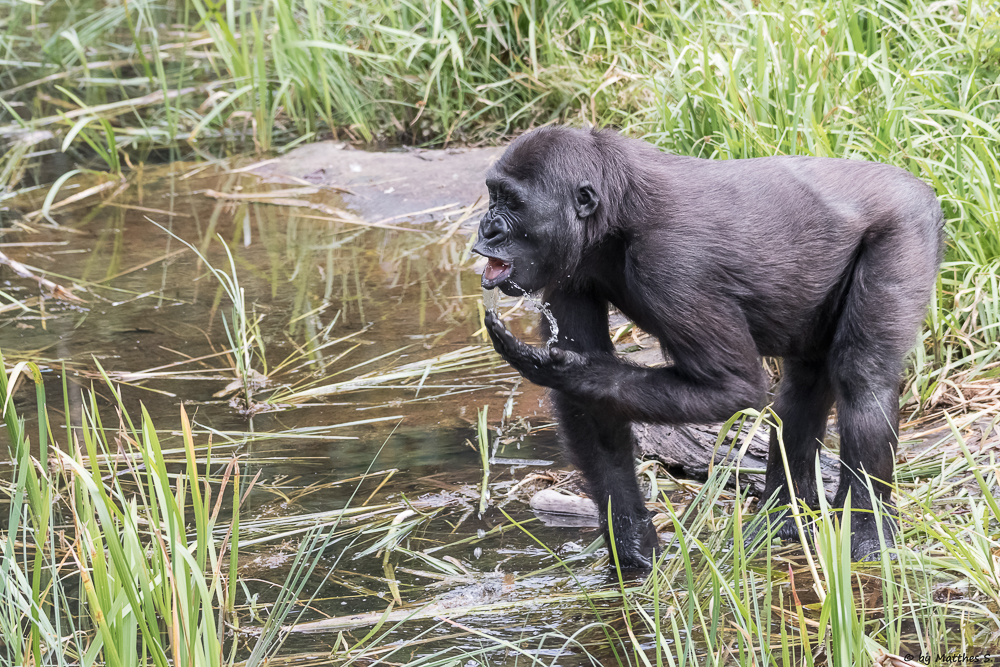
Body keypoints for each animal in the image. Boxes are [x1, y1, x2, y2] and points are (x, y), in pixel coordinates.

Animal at [472, 124, 940, 568]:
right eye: (494, 195)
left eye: (512, 203)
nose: (487, 227)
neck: (615, 213)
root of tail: (917, 183)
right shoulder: (570, 269)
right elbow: (590, 412)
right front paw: (632, 544)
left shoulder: (672, 266)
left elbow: (733, 388)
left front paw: (562, 369)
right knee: (803, 389)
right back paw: (780, 519)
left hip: (908, 226)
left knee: (863, 378)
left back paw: (867, 531)